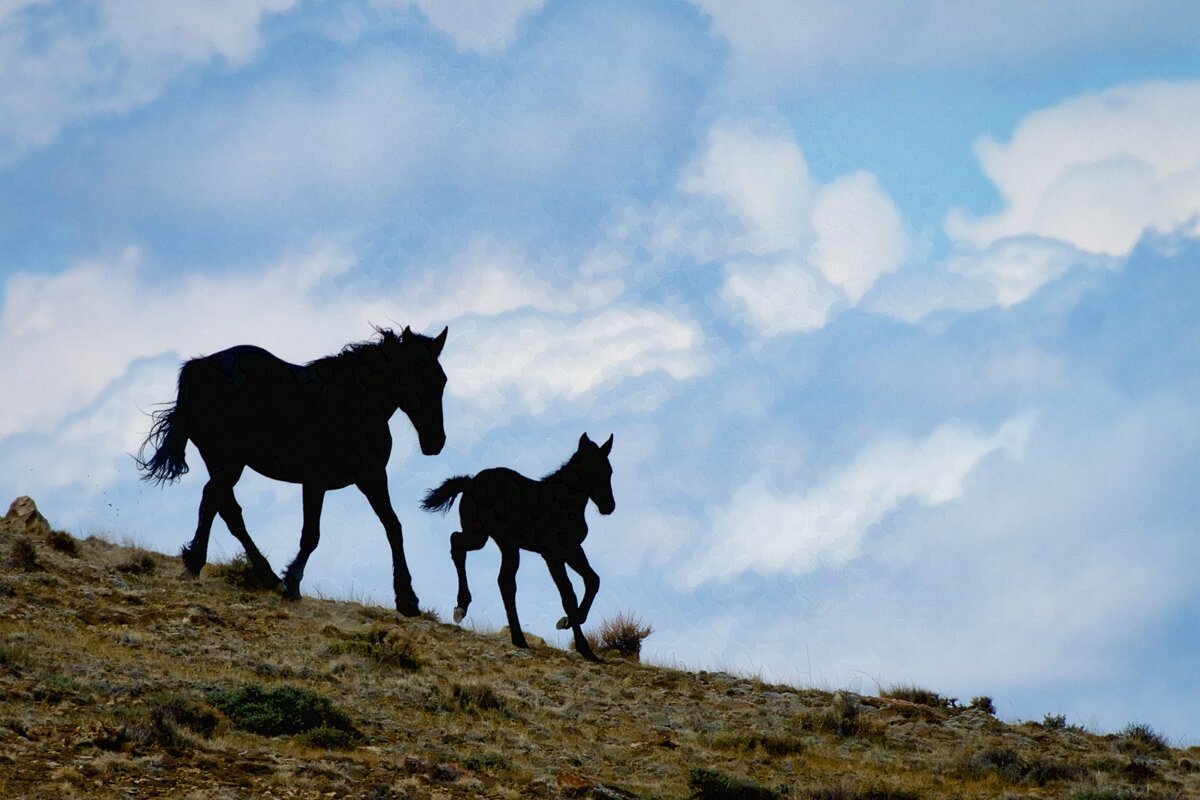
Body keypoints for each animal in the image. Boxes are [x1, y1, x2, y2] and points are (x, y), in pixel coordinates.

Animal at [137, 325, 448, 617]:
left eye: (441, 380)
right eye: (414, 375)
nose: (436, 442)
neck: (354, 404)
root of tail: (200, 366)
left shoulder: (370, 478)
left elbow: (393, 526)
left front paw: (407, 598)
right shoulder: (318, 482)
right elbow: (311, 535)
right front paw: (293, 581)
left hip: (220, 460)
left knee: (222, 506)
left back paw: (236, 568)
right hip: (230, 461)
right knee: (218, 501)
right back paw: (228, 568)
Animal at [421, 433, 614, 661]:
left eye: (609, 471)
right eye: (590, 471)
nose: (609, 506)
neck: (562, 504)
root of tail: (471, 482)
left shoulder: (573, 550)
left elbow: (593, 580)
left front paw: (584, 646)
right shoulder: (553, 554)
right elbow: (568, 595)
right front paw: (572, 630)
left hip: (504, 543)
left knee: (504, 581)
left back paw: (516, 638)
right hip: (481, 536)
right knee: (457, 543)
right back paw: (463, 608)